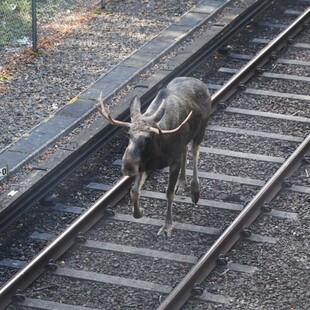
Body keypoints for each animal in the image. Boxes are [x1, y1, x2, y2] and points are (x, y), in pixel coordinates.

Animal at [97, 76, 211, 236]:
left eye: (147, 138)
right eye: (128, 134)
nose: (128, 166)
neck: (157, 150)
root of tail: (201, 83)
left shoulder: (173, 162)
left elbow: (169, 194)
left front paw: (167, 226)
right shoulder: (144, 165)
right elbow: (134, 191)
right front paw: (139, 212)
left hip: (201, 131)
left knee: (195, 152)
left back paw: (195, 191)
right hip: (185, 141)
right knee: (185, 151)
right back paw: (182, 183)